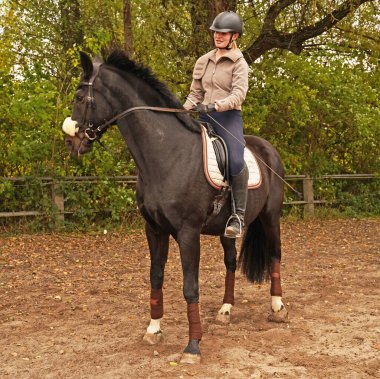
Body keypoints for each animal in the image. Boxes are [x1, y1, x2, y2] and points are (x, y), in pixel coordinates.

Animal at [63, 51, 288, 366]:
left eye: (80, 97)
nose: (72, 142)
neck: (167, 153)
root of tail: (268, 149)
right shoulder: (154, 229)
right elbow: (155, 277)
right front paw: (153, 329)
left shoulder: (188, 233)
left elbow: (190, 287)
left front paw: (193, 346)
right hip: (226, 231)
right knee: (231, 262)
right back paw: (225, 310)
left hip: (271, 218)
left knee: (276, 255)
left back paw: (278, 308)